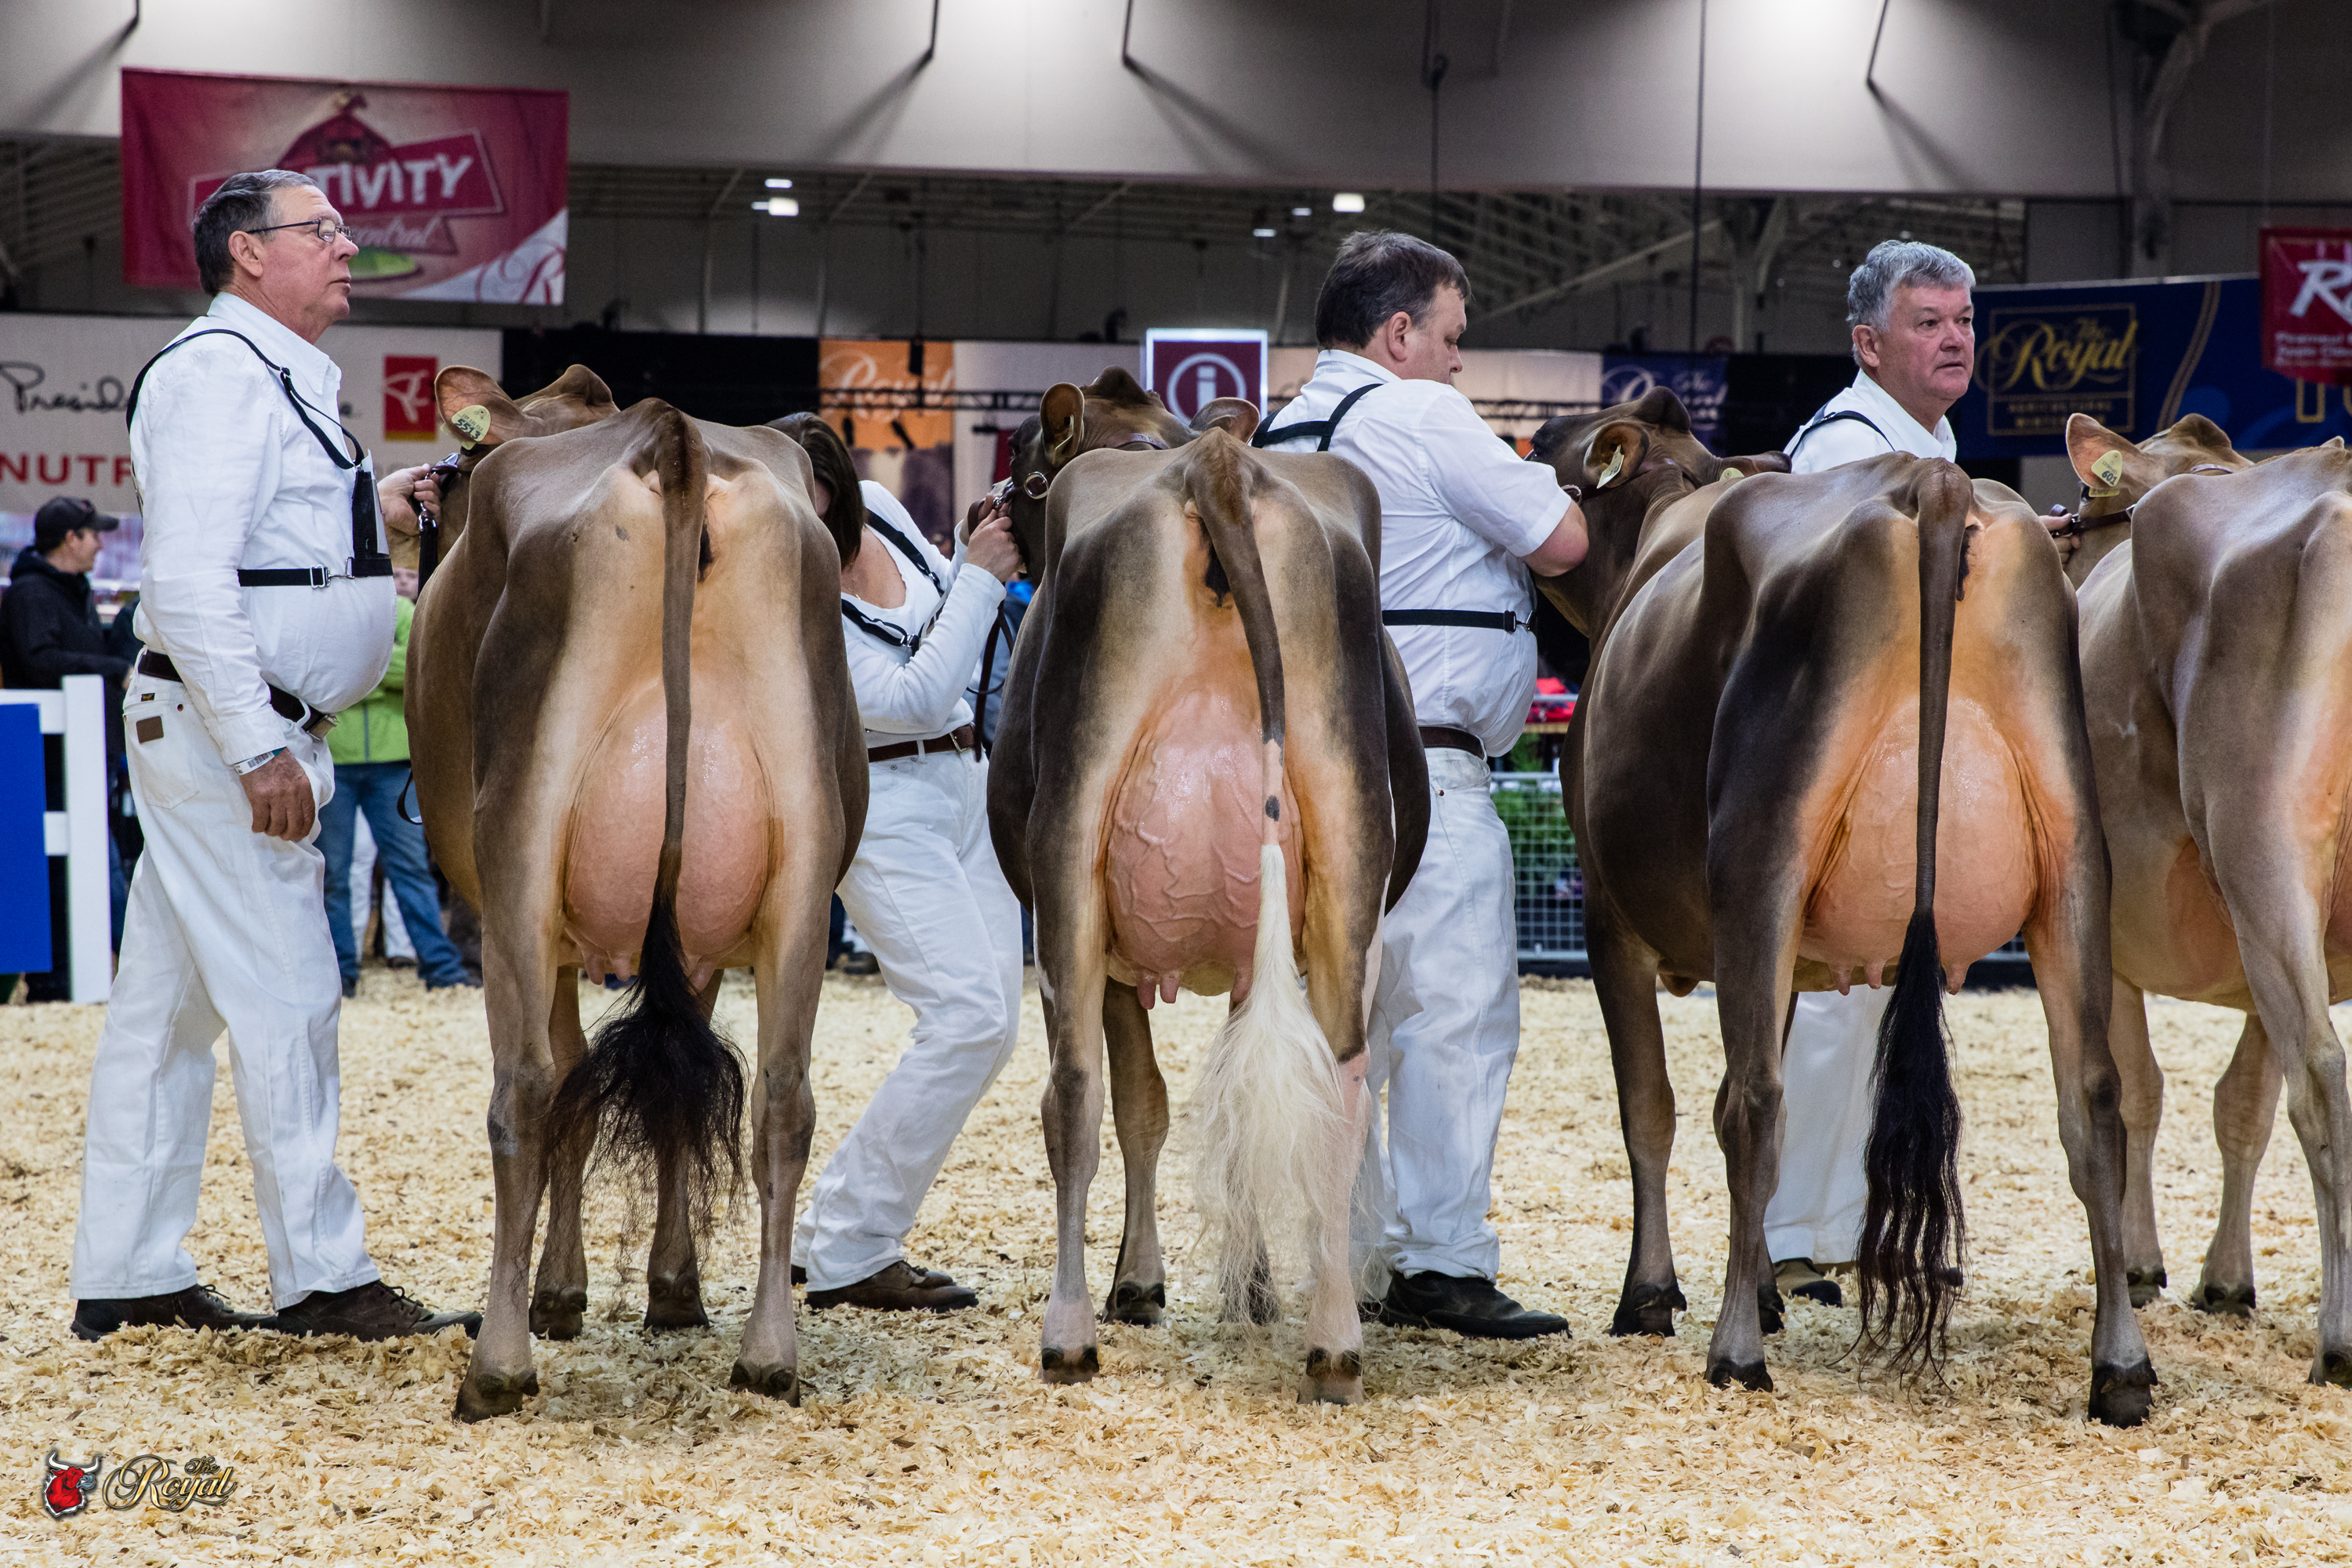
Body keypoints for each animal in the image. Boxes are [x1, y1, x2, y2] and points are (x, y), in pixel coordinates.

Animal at [408, 365, 865, 1420]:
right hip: (803, 868)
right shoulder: (697, 941)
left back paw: (497, 1363)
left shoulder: (547, 928)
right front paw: (674, 1289)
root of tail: (674, 435)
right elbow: (670, 1098)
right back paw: (768, 1352)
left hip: (520, 849)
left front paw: (562, 1292)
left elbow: (572, 1081)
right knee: (784, 1095)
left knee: (525, 1088)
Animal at [987, 372, 1427, 1403]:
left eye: (1023, 470)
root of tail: (1215, 465)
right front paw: (1252, 1285)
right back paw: (1333, 1340)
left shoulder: (1110, 953)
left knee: (1072, 1093)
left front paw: (1142, 1281)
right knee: (1340, 1088)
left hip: (1069, 851)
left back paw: (1067, 1332)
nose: (987, 522)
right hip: (1351, 837)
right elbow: (1232, 1094)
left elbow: (1143, 1101)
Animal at [1525, 387, 2154, 1425]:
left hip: (1762, 856)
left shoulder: (1611, 918)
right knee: (2094, 1101)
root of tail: (1931, 481)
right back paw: (2122, 1366)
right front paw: (1761, 1284)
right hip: (2075, 861)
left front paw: (1653, 1294)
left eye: (1541, 444)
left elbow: (1650, 1107)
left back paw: (1734, 1350)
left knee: (1755, 1102)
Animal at [2063, 414, 2352, 1383]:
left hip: (2262, 846)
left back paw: (2339, 1340)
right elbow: (2242, 1105)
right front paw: (2226, 1279)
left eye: (2084, 506)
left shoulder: (2103, 933)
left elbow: (2136, 1095)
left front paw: (2143, 1267)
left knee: (2323, 1077)